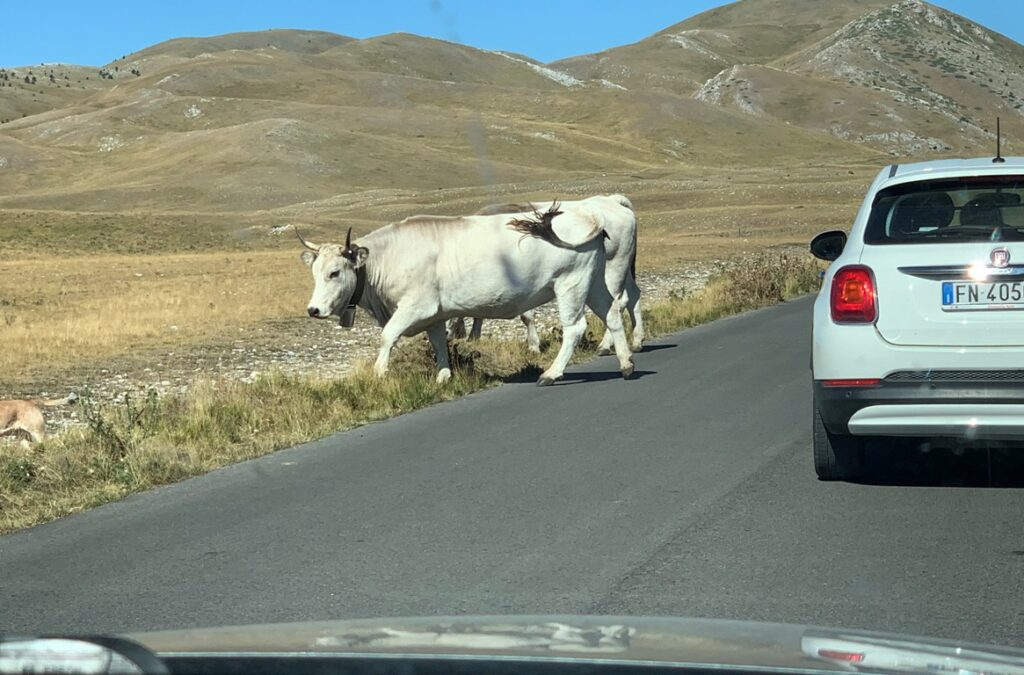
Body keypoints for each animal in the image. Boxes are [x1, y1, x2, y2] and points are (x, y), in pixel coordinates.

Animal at [299, 203, 630, 385]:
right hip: (593, 281)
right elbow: (438, 342)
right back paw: (626, 364)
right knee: (612, 312)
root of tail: (587, 214)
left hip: (570, 283)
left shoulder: (416, 306)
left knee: (575, 328)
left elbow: (388, 335)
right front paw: (444, 376)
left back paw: (551, 374)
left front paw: (379, 372)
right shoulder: (435, 314)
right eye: (313, 272)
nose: (313, 310)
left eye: (334, 272)